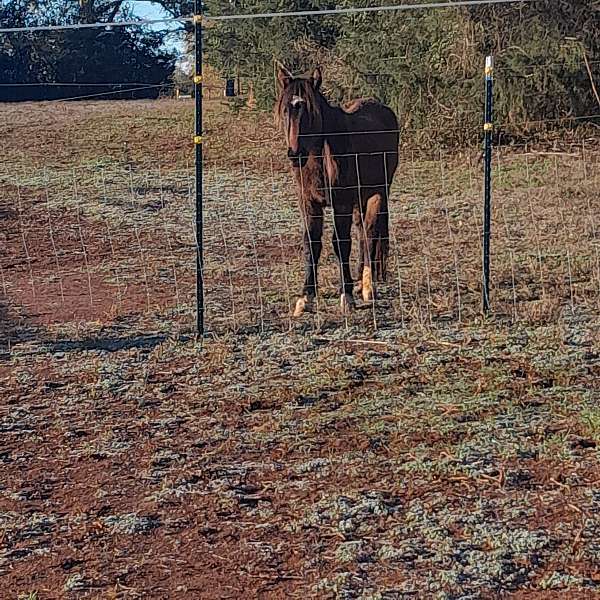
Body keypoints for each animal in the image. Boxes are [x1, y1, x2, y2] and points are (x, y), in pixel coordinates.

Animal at [276, 65, 398, 316]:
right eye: (285, 110)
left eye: (309, 111)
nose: (294, 154)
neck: (320, 159)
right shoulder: (309, 202)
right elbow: (311, 243)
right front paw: (305, 297)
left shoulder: (341, 202)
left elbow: (341, 244)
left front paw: (347, 295)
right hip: (360, 198)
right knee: (361, 231)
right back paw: (360, 281)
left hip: (378, 192)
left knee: (369, 231)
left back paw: (367, 286)